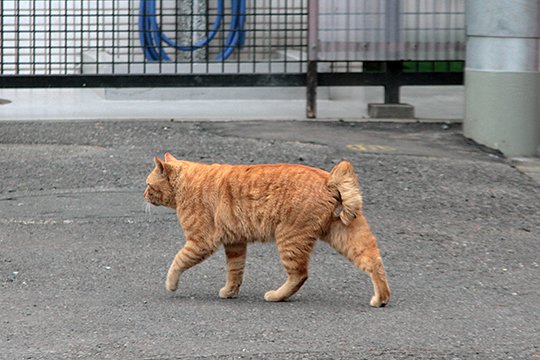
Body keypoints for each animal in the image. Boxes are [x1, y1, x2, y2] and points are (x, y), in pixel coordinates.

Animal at [146, 152, 390, 306]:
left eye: (148, 185)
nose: (144, 194)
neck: (185, 184)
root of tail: (329, 179)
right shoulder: (235, 243)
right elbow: (235, 271)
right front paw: (230, 291)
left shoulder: (200, 241)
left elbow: (178, 261)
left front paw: (171, 285)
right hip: (347, 235)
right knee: (374, 262)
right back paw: (381, 299)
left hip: (289, 238)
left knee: (300, 274)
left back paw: (276, 296)